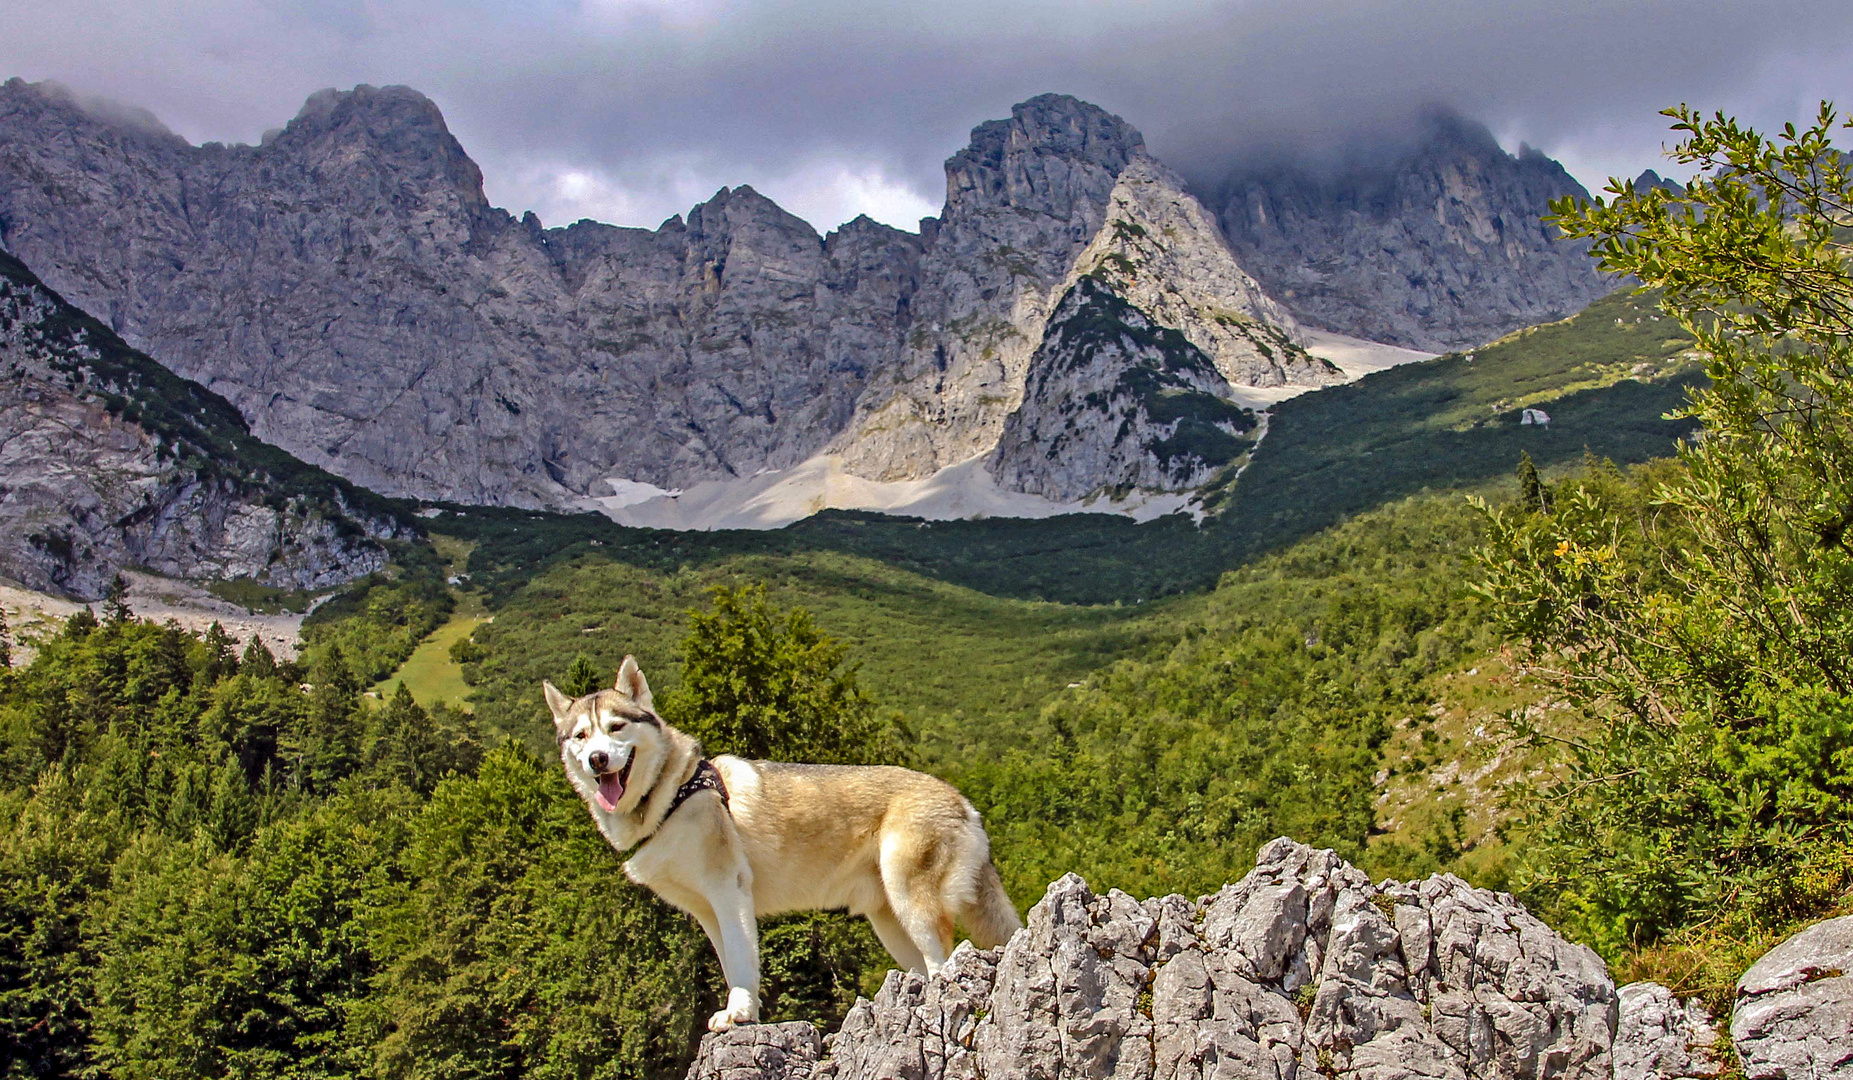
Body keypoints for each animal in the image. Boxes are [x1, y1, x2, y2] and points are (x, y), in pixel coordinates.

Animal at [541, 655, 1022, 1037]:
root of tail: (963, 800)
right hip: (890, 924)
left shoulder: (730, 892)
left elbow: (742, 964)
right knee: (925, 968)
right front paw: (742, 1014)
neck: (670, 796)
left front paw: (738, 1014)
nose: (598, 759)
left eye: (616, 728)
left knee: (944, 965)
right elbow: (733, 966)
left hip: (913, 907)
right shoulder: (709, 913)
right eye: (581, 736)